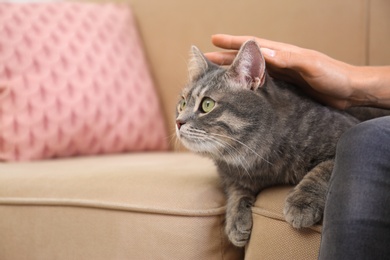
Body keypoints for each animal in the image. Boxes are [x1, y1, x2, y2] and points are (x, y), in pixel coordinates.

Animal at [175, 40, 370, 246]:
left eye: (207, 105)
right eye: (182, 104)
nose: (178, 122)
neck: (256, 162)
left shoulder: (345, 131)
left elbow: (323, 169)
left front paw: (301, 203)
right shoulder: (230, 176)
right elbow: (236, 191)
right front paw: (235, 219)